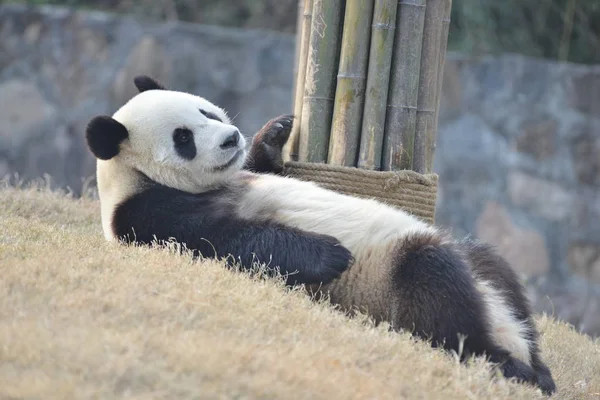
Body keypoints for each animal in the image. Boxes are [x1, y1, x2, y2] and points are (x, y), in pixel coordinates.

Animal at [85, 76, 556, 396]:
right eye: (183, 138)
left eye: (207, 113)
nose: (230, 138)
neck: (132, 178)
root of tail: (506, 330)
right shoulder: (148, 216)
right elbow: (225, 240)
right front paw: (330, 255)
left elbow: (266, 169)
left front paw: (274, 132)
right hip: (394, 281)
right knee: (438, 294)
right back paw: (509, 365)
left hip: (480, 266)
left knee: (495, 269)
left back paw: (539, 363)